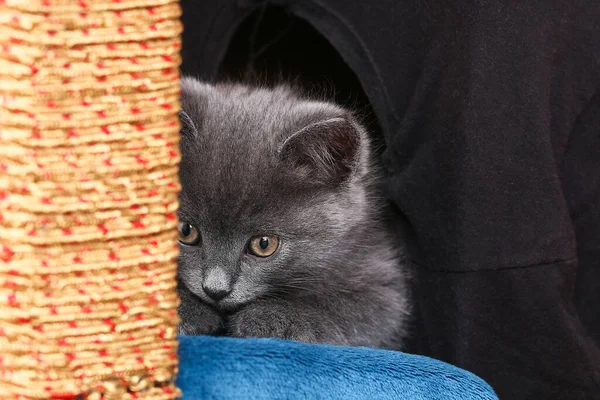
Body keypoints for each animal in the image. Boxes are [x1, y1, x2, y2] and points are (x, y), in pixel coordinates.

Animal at [176, 76, 410, 348]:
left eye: (264, 244)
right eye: (186, 231)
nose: (215, 289)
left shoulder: (383, 279)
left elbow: (354, 310)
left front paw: (271, 318)